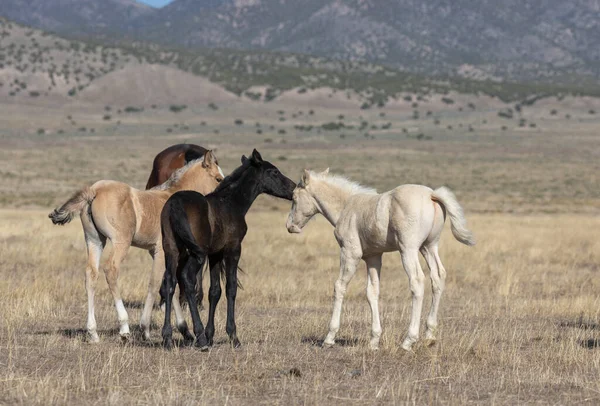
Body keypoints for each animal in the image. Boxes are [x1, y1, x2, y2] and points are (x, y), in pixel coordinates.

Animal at [49, 152, 225, 342]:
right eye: (218, 178)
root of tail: (94, 190)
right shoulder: (161, 251)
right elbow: (156, 283)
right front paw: (145, 328)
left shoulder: (157, 253)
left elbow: (168, 284)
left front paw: (184, 329)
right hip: (121, 242)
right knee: (111, 270)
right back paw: (124, 328)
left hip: (94, 240)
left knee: (91, 274)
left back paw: (93, 332)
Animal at [159, 149, 296, 348]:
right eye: (274, 172)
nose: (294, 189)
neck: (230, 203)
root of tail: (175, 204)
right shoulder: (233, 250)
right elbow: (231, 288)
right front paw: (232, 336)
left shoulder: (215, 254)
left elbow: (214, 291)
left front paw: (211, 335)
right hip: (194, 254)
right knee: (187, 279)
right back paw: (199, 336)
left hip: (172, 251)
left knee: (169, 283)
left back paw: (168, 337)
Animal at [286, 170, 474, 350]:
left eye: (294, 197)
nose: (290, 226)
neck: (346, 206)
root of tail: (431, 194)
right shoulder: (373, 257)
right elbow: (372, 292)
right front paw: (374, 340)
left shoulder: (350, 253)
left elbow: (339, 286)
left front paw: (329, 338)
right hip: (429, 247)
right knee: (438, 277)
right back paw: (429, 336)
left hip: (408, 249)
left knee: (417, 281)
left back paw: (408, 340)